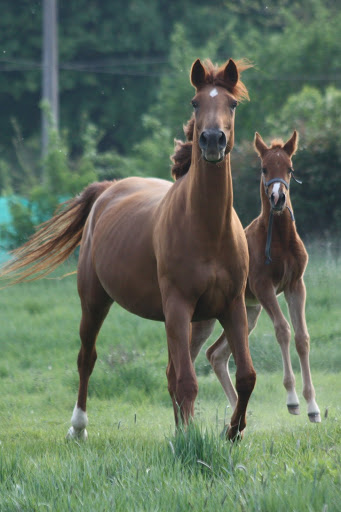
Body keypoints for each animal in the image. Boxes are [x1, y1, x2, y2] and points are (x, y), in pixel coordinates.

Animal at [0, 56, 255, 440]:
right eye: (195, 103)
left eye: (233, 104)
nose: (212, 140)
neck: (208, 230)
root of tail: (108, 189)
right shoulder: (178, 305)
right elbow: (187, 381)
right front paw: (190, 439)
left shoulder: (232, 305)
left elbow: (245, 376)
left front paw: (232, 432)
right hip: (94, 301)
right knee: (87, 359)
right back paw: (78, 428)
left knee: (170, 372)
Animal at [174, 132, 320, 424]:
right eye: (264, 168)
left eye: (290, 168)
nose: (278, 198)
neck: (279, 239)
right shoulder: (264, 287)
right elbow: (283, 330)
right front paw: (292, 400)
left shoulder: (295, 285)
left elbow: (302, 336)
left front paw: (313, 407)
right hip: (205, 319)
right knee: (191, 357)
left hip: (248, 313)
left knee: (215, 354)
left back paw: (235, 418)